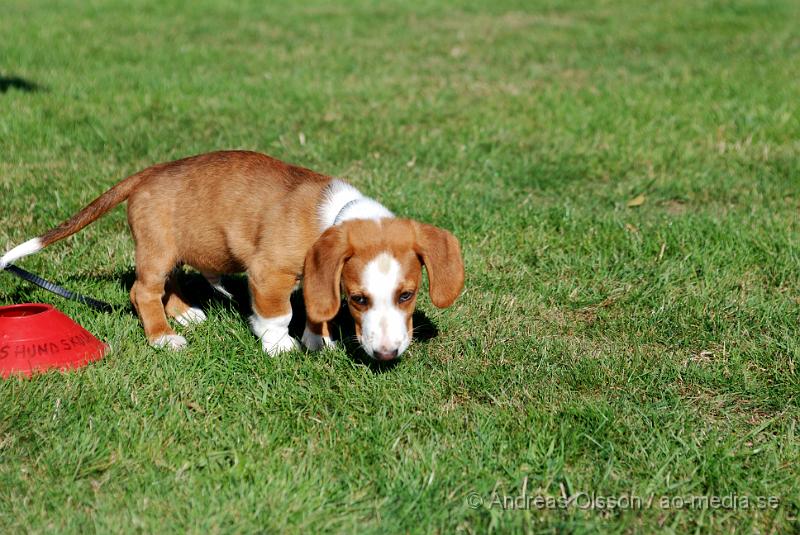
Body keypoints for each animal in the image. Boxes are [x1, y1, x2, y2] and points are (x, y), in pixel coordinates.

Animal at [0, 149, 462, 362]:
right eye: (359, 300)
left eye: (407, 295)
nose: (387, 355)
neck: (336, 216)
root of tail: (148, 173)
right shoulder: (269, 274)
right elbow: (278, 314)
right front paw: (279, 344)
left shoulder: (319, 277)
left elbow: (317, 309)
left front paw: (319, 339)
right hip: (156, 249)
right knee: (142, 292)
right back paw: (163, 335)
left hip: (175, 249)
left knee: (169, 283)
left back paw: (184, 313)